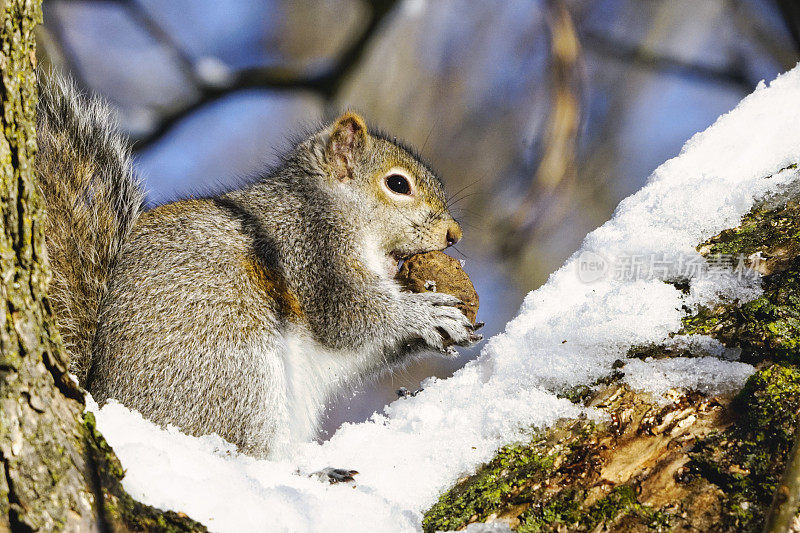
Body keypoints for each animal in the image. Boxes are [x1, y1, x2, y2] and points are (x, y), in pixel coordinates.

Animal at [37, 72, 482, 460]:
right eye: (398, 184)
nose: (454, 234)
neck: (328, 206)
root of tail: (105, 399)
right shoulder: (308, 250)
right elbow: (349, 316)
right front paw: (425, 312)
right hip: (237, 377)